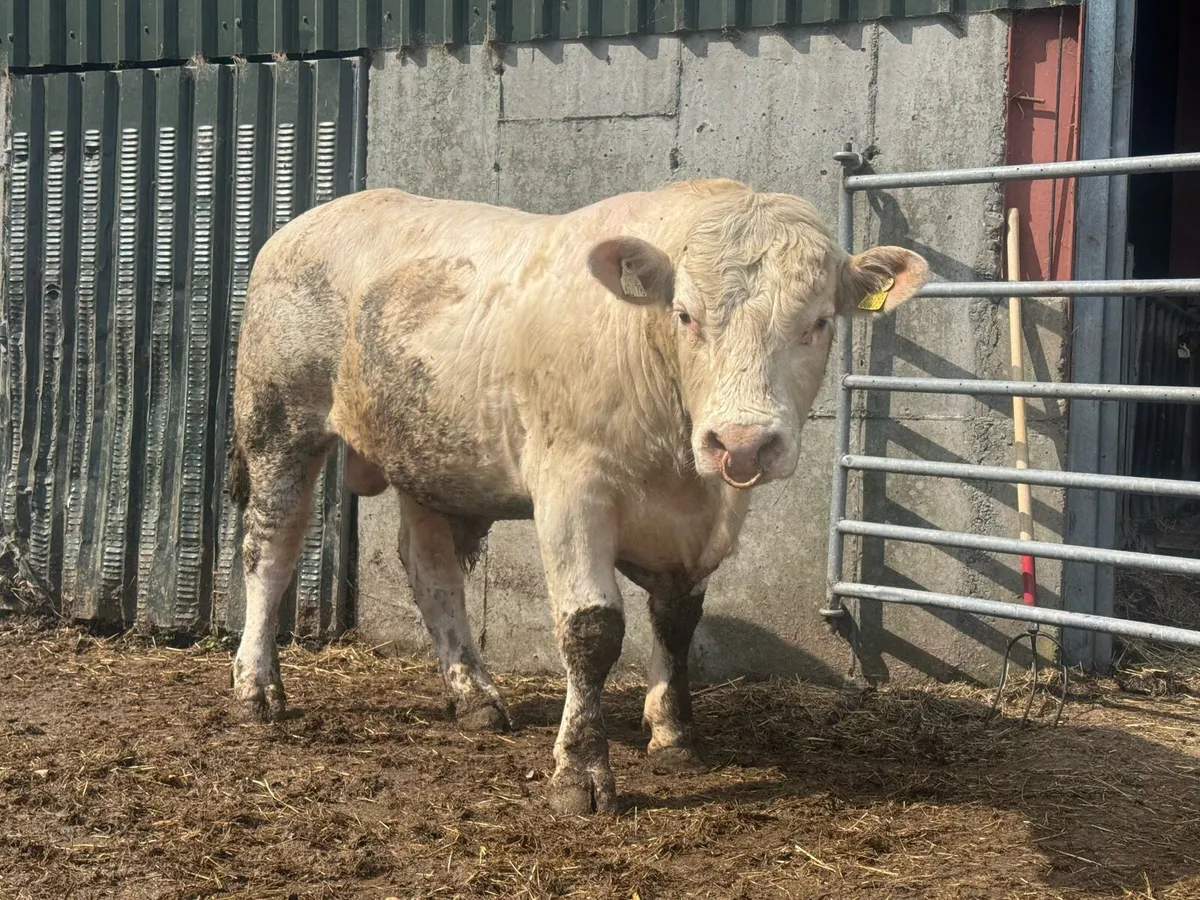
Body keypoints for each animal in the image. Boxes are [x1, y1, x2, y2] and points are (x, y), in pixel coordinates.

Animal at [226, 179, 929, 815]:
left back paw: (475, 695)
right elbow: (593, 630)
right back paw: (256, 686)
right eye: (685, 315)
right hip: (279, 421)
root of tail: (308, 222)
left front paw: (674, 734)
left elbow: (679, 621)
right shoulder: (571, 490)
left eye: (819, 322)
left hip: (427, 453)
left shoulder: (707, 520)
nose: (743, 441)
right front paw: (581, 774)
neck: (676, 460)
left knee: (432, 572)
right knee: (270, 548)